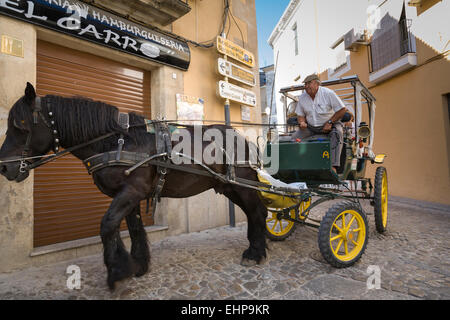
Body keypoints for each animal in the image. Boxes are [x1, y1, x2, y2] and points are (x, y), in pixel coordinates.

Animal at [0, 83, 268, 290]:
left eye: (20, 126)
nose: (4, 167)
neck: (116, 141)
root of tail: (242, 137)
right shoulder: (131, 195)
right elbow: (134, 227)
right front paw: (138, 264)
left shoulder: (131, 191)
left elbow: (108, 225)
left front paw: (117, 271)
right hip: (230, 187)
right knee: (253, 213)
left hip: (242, 186)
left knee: (257, 212)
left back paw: (255, 252)